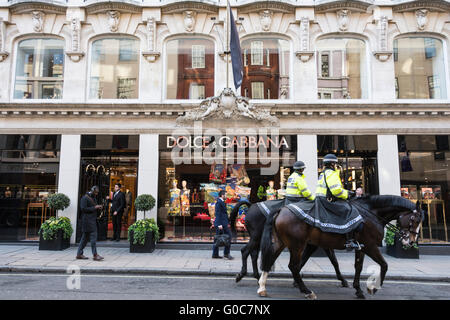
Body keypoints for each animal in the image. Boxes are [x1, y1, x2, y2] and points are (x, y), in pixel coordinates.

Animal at [258, 195, 424, 300]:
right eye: (414, 220)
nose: (411, 242)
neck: (371, 214)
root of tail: (281, 209)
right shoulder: (370, 245)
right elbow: (384, 265)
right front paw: (373, 288)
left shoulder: (361, 247)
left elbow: (358, 266)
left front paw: (358, 289)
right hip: (297, 244)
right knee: (293, 266)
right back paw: (307, 291)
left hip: (283, 242)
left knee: (271, 260)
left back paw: (262, 288)